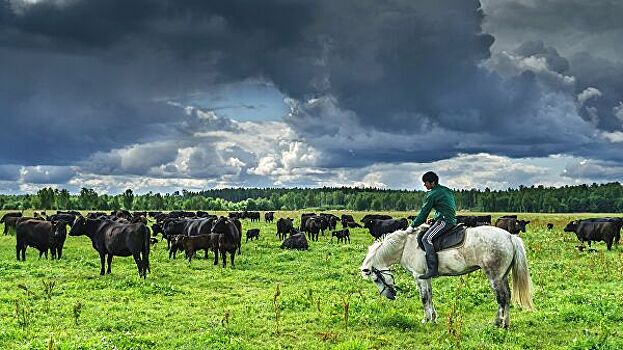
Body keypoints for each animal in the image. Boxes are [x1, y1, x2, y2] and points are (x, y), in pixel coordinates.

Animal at [360, 224, 536, 328]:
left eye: (375, 279)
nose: (391, 296)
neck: (405, 246)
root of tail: (510, 236)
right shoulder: (426, 277)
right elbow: (430, 296)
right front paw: (433, 318)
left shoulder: (418, 276)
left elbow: (424, 298)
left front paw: (426, 320)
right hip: (502, 276)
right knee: (507, 297)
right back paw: (505, 323)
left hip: (495, 276)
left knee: (502, 297)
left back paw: (499, 323)